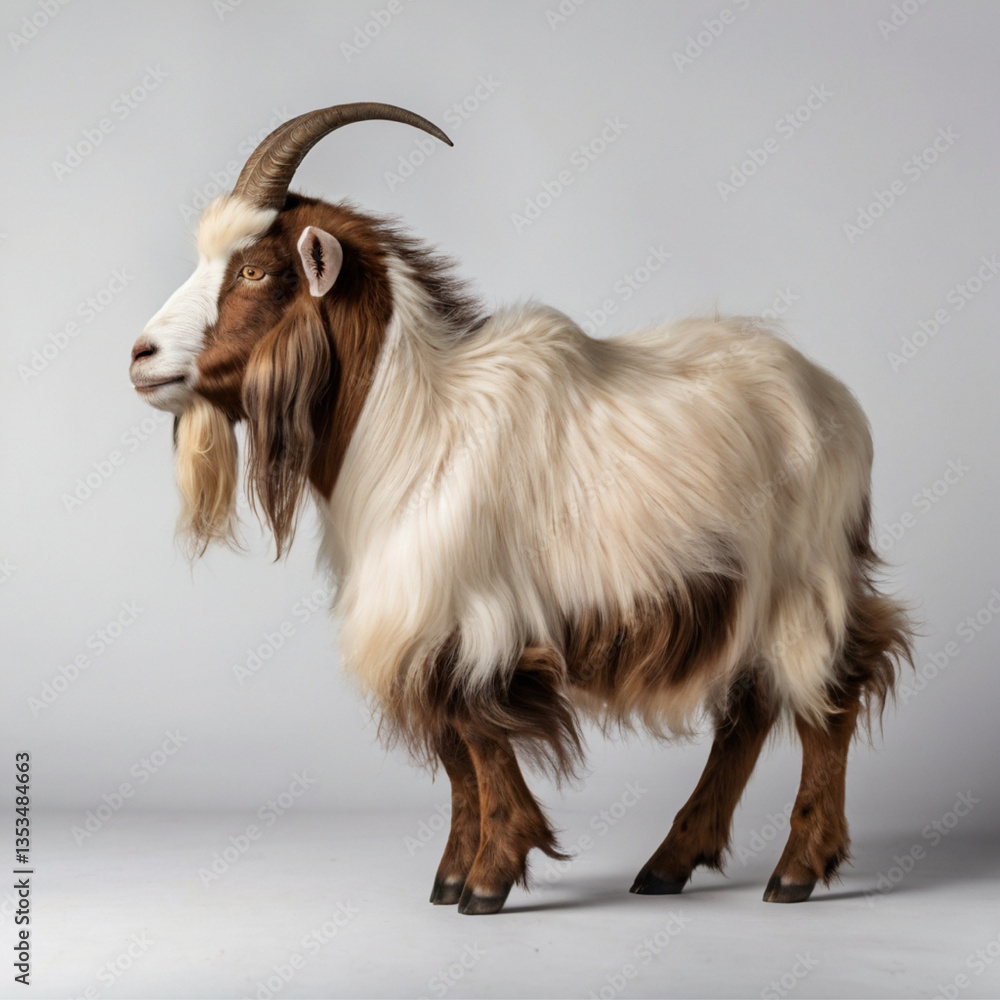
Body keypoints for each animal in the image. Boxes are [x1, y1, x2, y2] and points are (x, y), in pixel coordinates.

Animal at [129, 102, 913, 915]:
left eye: (254, 270)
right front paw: (451, 875)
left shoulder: (471, 614)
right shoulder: (419, 623)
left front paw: (488, 878)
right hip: (744, 591)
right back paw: (671, 862)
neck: (417, 426)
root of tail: (833, 399)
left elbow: (477, 735)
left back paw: (797, 868)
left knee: (833, 695)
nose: (141, 357)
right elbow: (452, 747)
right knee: (749, 710)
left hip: (806, 572)